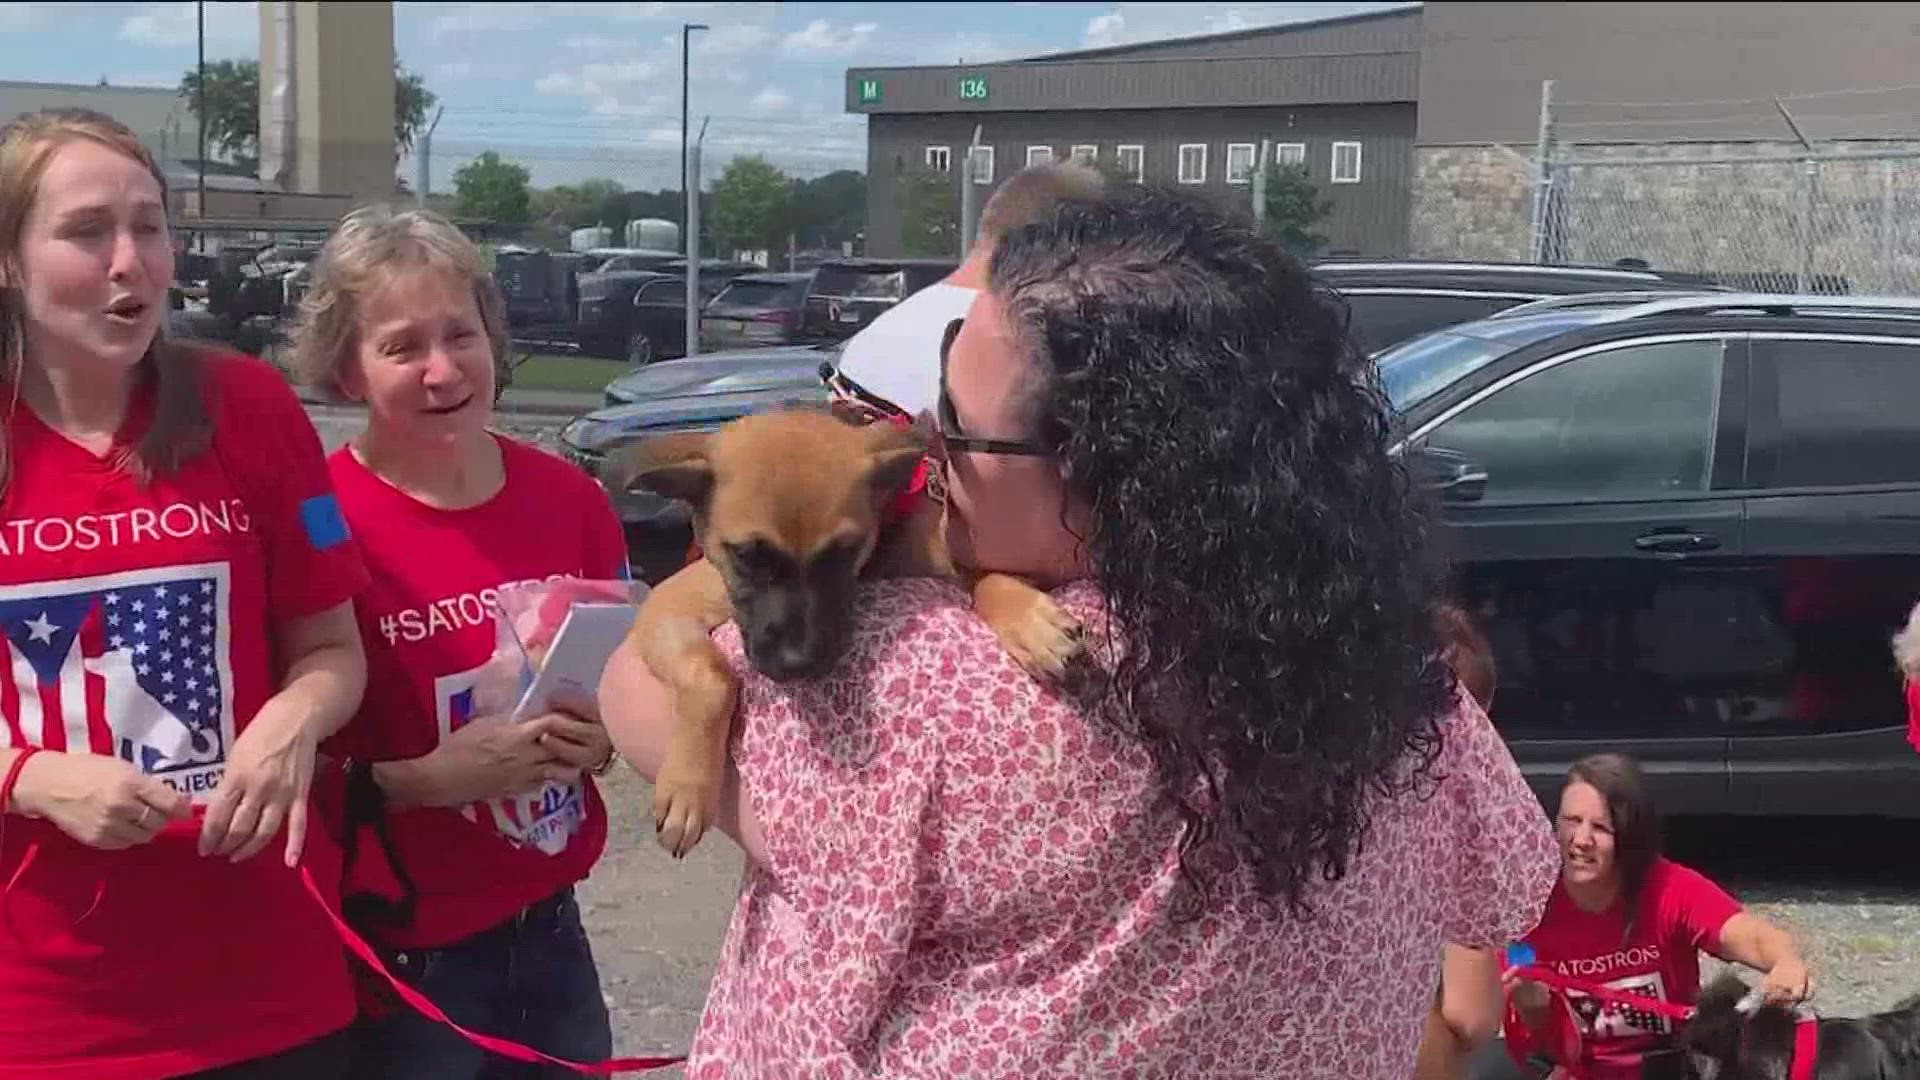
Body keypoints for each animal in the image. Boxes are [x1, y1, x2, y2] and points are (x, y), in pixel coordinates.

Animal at [614, 407, 1098, 853]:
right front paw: (687, 787)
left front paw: (1029, 621)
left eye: (842, 551)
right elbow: (710, 672)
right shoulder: (665, 605)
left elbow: (984, 578)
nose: (799, 664)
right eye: (748, 555)